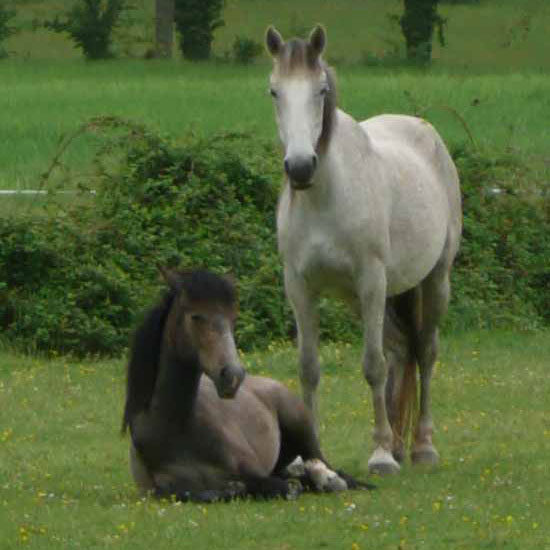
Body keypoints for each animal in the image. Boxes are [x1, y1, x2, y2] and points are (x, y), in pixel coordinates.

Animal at [266, 24, 462, 474]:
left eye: (321, 90)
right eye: (274, 91)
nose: (300, 167)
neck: (326, 198)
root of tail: (427, 132)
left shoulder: (371, 280)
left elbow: (372, 365)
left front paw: (380, 456)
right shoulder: (299, 288)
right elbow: (308, 369)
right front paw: (310, 460)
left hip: (432, 280)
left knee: (425, 352)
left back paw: (422, 447)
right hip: (367, 298)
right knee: (401, 350)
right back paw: (400, 444)